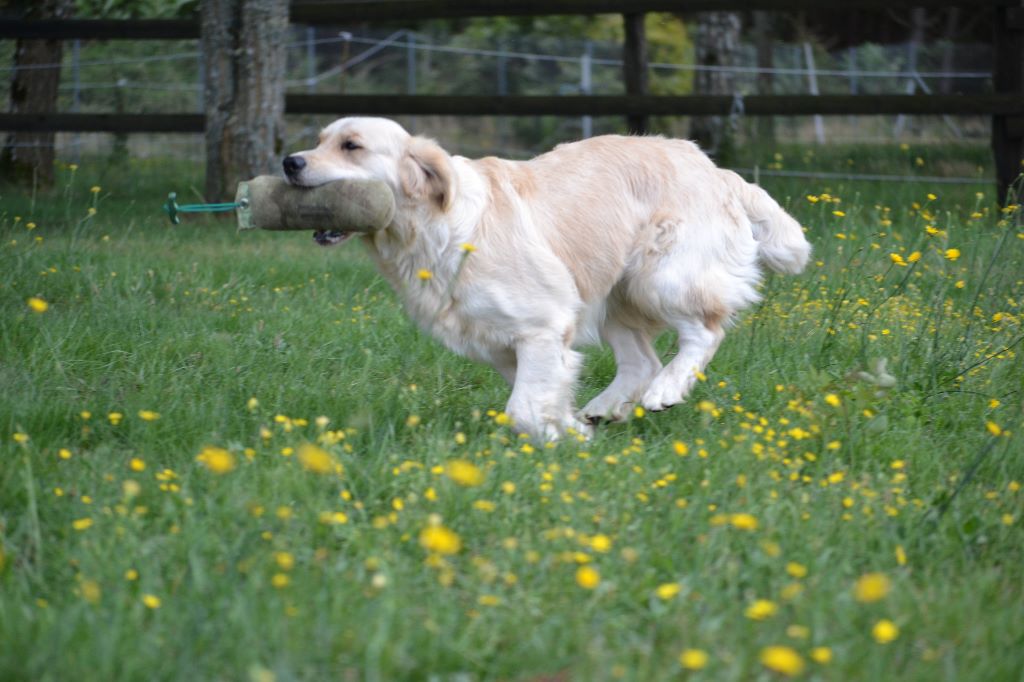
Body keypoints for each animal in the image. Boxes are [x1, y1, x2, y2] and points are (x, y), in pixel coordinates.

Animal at [284, 115, 811, 436]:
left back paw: (666, 390)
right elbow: (542, 399)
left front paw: (568, 439)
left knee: (703, 332)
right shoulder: (503, 343)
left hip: (660, 276)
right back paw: (605, 407)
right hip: (610, 295)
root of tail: (717, 170)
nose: (289, 162)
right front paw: (573, 429)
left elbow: (522, 409)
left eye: (351, 146)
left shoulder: (542, 325)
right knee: (641, 360)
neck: (432, 229)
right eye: (319, 140)